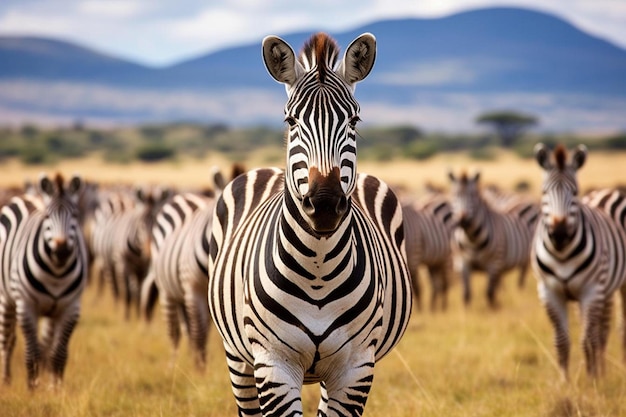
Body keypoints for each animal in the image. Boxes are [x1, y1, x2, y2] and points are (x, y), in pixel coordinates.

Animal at [0, 171, 88, 386]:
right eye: (47, 216)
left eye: (75, 215)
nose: (62, 250)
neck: (56, 272)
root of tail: (26, 197)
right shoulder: (26, 305)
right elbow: (32, 352)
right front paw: (32, 387)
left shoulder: (71, 307)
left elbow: (58, 354)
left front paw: (56, 388)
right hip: (6, 298)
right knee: (7, 340)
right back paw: (6, 379)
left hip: (52, 311)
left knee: (46, 346)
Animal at [207, 33, 412, 416]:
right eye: (291, 122)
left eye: (354, 121)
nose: (325, 205)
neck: (318, 266)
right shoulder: (273, 364)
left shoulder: (356, 367)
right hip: (237, 358)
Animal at [446, 167, 540, 308]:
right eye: (454, 195)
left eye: (473, 196)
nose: (463, 221)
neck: (471, 238)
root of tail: (527, 199)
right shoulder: (462, 262)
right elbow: (466, 294)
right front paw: (466, 311)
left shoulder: (494, 264)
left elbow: (489, 293)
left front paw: (492, 309)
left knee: (522, 277)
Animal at [528, 144, 624, 380]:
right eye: (544, 192)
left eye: (574, 193)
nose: (559, 233)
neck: (562, 253)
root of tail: (603, 192)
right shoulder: (549, 292)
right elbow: (561, 340)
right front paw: (565, 381)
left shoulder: (590, 290)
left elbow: (586, 339)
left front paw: (591, 380)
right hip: (605, 290)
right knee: (602, 330)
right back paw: (602, 369)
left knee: (615, 327)